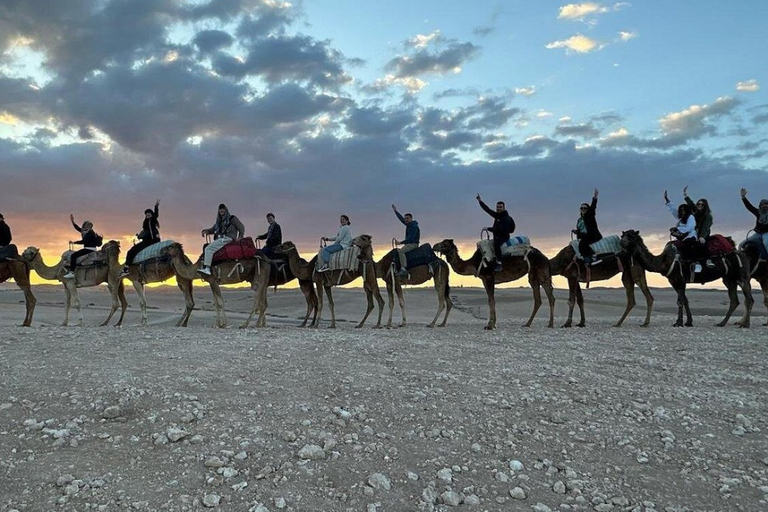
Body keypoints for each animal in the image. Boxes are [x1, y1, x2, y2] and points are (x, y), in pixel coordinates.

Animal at [620, 230, 753, 327]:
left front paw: (678, 323)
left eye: (631, 236)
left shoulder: (681, 280)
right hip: (729, 279)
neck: (664, 261)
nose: (621, 242)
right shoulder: (674, 282)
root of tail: (743, 254)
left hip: (742, 276)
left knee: (748, 299)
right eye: (623, 235)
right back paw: (722, 323)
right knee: (735, 300)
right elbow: (685, 300)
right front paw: (688, 322)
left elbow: (680, 301)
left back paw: (745, 325)